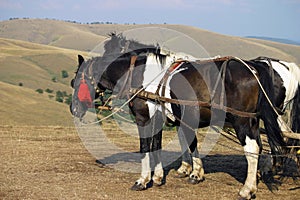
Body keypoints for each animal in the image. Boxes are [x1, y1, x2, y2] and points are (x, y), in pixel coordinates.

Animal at [69, 34, 288, 198]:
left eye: (75, 82)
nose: (74, 109)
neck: (141, 76)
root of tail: (253, 68)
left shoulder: (144, 118)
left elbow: (146, 147)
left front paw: (143, 180)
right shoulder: (159, 119)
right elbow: (157, 145)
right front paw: (159, 177)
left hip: (241, 120)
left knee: (252, 149)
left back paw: (247, 189)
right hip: (252, 120)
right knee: (259, 147)